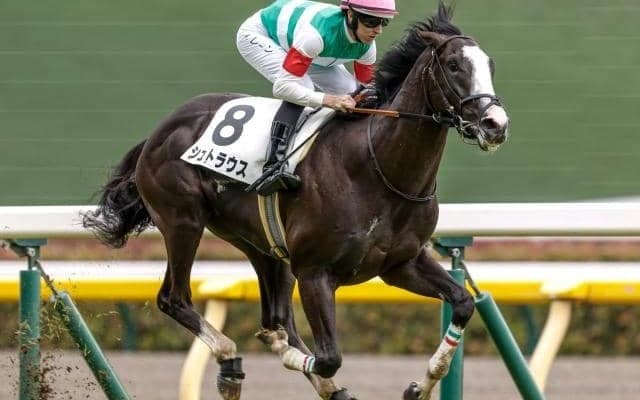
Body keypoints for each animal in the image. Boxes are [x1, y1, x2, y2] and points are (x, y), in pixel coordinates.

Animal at [83, 3, 509, 400]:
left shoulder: (401, 264)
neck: (377, 170)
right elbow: (329, 356)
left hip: (262, 245)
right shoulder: (315, 272)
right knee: (174, 298)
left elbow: (463, 303)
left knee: (275, 314)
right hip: (182, 221)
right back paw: (231, 359)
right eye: (454, 65)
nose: (496, 125)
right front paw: (291, 356)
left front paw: (420, 385)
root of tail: (159, 131)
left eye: (489, 64)